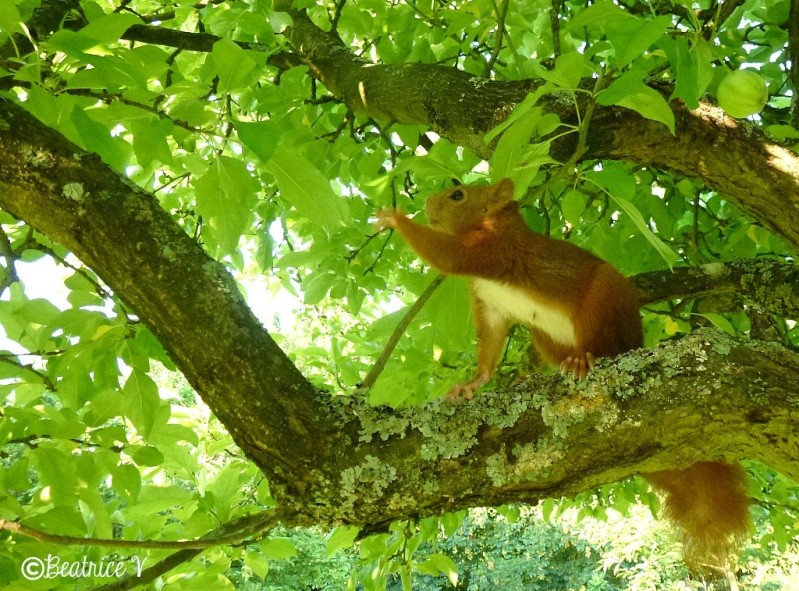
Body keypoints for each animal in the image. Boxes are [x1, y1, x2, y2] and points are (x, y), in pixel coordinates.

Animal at [378, 179, 752, 568]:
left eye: (457, 195)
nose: (426, 203)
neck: (495, 224)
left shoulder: (489, 250)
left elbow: (446, 255)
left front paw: (394, 219)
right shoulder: (490, 305)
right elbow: (490, 346)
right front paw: (471, 385)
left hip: (602, 303)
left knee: (605, 346)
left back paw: (584, 360)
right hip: (542, 335)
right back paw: (541, 373)